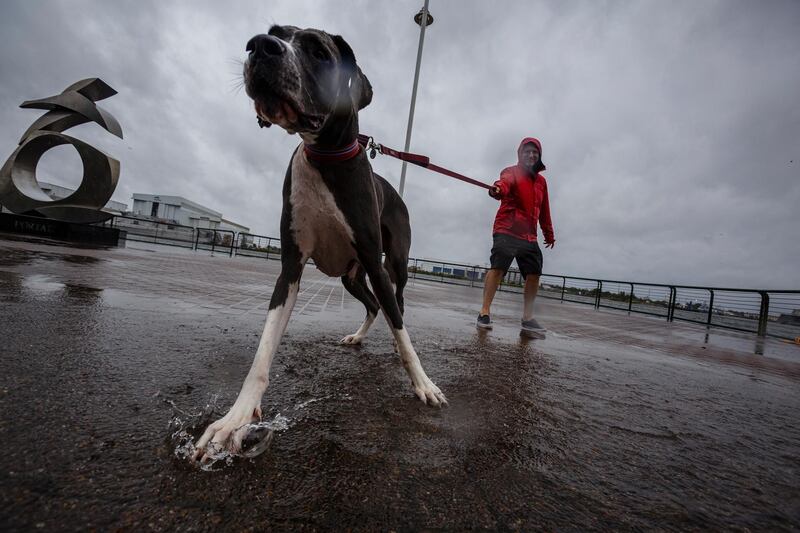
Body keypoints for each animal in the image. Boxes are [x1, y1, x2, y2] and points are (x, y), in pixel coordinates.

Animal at [192, 25, 444, 460]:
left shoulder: (374, 261)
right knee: (374, 305)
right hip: (351, 277)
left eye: (319, 52)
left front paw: (423, 384)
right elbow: (263, 351)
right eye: (274, 33)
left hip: (392, 265)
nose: (260, 46)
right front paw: (234, 420)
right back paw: (358, 336)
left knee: (396, 306)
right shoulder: (290, 266)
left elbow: (402, 332)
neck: (325, 155)